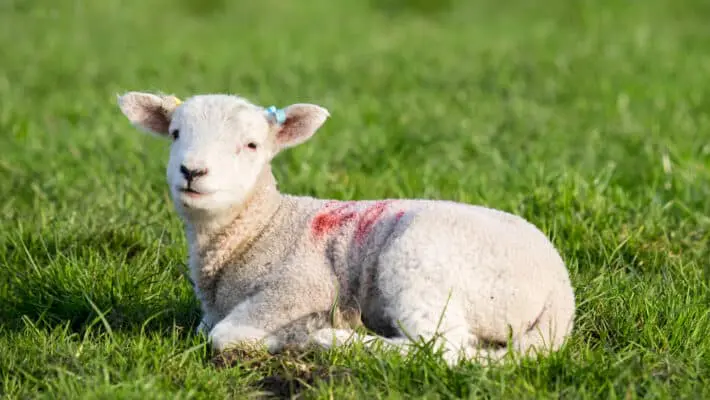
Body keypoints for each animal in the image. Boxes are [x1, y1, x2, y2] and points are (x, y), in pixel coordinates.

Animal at [116, 91, 576, 366]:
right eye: (175, 133)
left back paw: (333, 339)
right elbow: (206, 329)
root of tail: (560, 292)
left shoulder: (302, 285)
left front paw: (287, 337)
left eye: (250, 145)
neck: (263, 226)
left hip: (419, 262)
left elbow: (224, 335)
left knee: (442, 349)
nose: (192, 171)